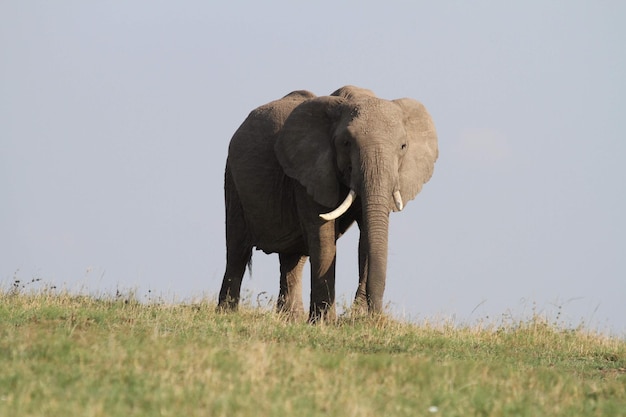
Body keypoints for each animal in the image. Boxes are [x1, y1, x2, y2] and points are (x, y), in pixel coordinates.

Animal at [217, 85, 436, 322]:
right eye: (346, 143)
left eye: (403, 146)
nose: (376, 316)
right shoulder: (310, 172)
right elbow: (323, 236)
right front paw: (325, 322)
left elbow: (366, 238)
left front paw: (354, 319)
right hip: (232, 180)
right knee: (237, 250)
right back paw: (227, 313)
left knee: (292, 258)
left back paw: (290, 320)